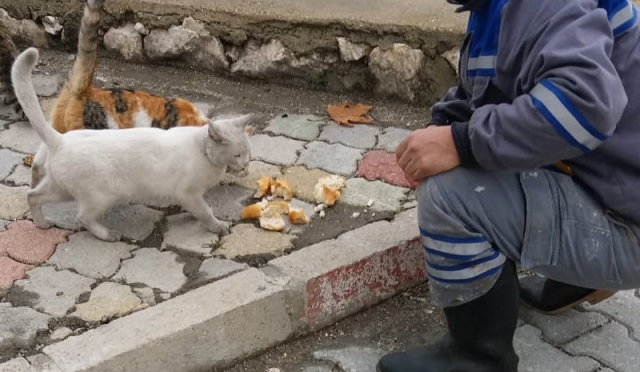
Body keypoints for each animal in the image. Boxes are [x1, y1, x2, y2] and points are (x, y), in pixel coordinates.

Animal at [11, 46, 252, 243]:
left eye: (248, 153)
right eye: (237, 155)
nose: (246, 165)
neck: (204, 153)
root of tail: (60, 140)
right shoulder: (189, 193)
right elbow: (205, 212)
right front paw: (217, 226)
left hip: (59, 188)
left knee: (32, 195)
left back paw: (42, 224)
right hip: (101, 195)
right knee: (82, 217)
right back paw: (109, 235)